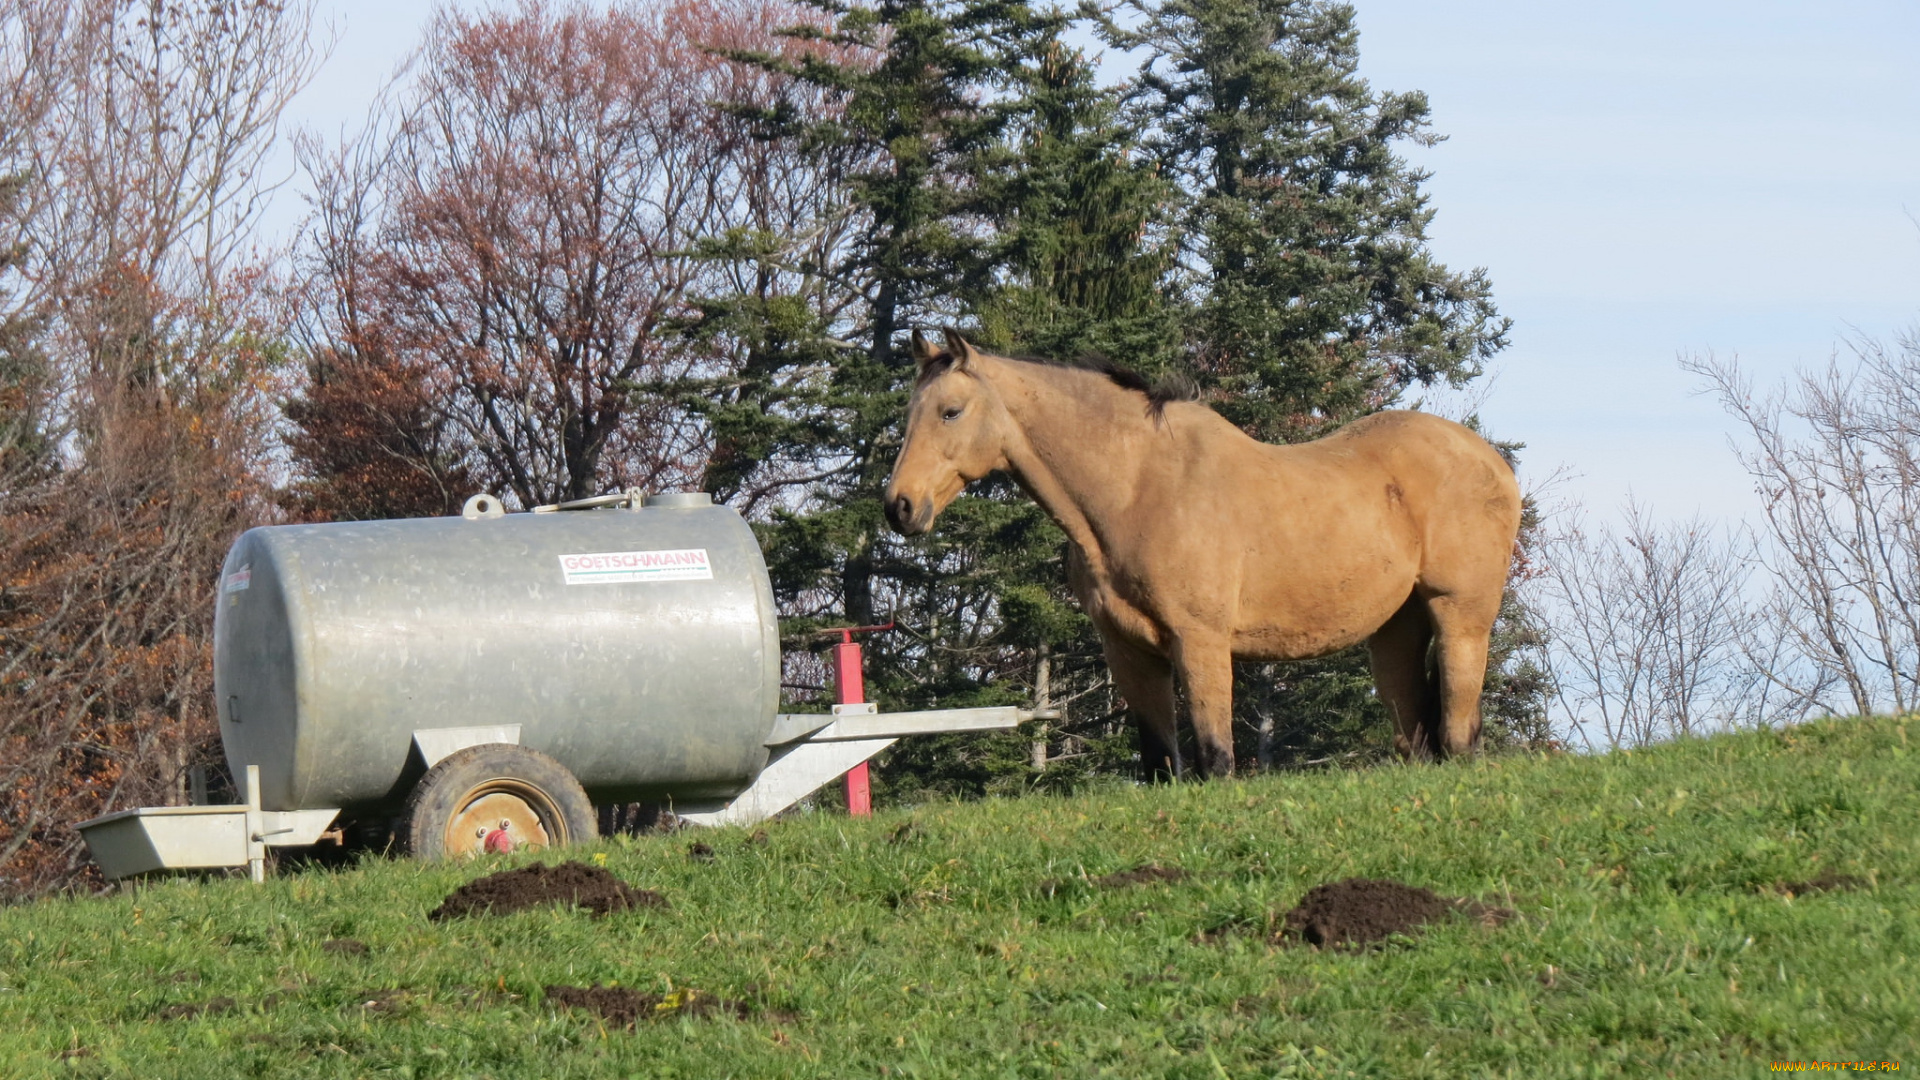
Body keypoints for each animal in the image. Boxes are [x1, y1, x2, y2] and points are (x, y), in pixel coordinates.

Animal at [883, 322, 1528, 776]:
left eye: (951, 411)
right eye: (909, 412)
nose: (900, 507)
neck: (1138, 489)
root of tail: (1492, 461)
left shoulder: (1201, 641)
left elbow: (1215, 759)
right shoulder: (1129, 650)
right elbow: (1160, 764)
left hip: (1460, 617)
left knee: (1459, 735)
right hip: (1396, 628)